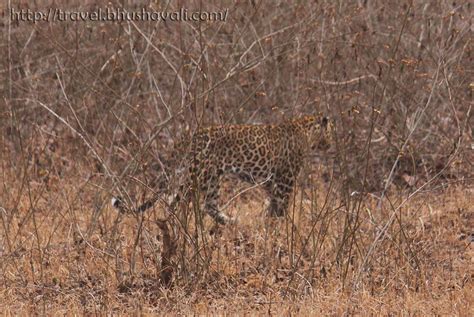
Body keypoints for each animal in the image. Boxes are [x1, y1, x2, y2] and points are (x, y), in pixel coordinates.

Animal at [112, 115, 334, 223]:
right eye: (331, 130)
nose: (332, 143)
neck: (307, 130)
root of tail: (193, 136)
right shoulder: (285, 179)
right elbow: (281, 205)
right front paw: (280, 227)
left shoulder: (271, 182)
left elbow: (273, 204)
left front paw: (267, 223)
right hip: (200, 174)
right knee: (178, 200)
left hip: (212, 177)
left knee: (208, 205)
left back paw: (230, 222)